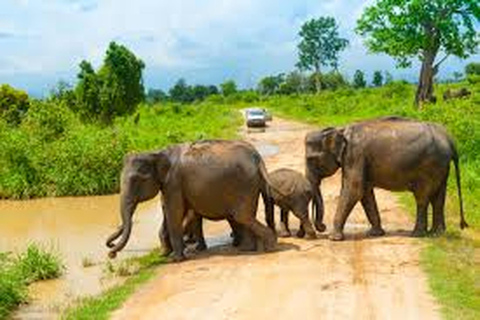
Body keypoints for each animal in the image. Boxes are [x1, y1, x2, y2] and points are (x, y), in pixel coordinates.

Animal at [106, 139, 276, 260]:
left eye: (136, 180)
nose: (111, 253)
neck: (157, 152)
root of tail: (257, 157)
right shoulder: (171, 185)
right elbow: (170, 213)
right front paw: (164, 254)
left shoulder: (174, 183)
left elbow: (174, 213)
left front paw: (175, 259)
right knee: (243, 217)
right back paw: (248, 248)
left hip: (244, 186)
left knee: (242, 216)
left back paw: (268, 246)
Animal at [306, 117, 466, 240]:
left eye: (311, 159)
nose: (322, 227)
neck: (341, 130)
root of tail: (449, 138)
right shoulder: (359, 159)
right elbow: (365, 193)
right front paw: (375, 234)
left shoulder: (355, 155)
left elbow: (354, 190)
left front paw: (334, 238)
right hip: (441, 166)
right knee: (438, 198)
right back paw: (436, 234)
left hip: (430, 166)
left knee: (422, 198)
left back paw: (417, 234)